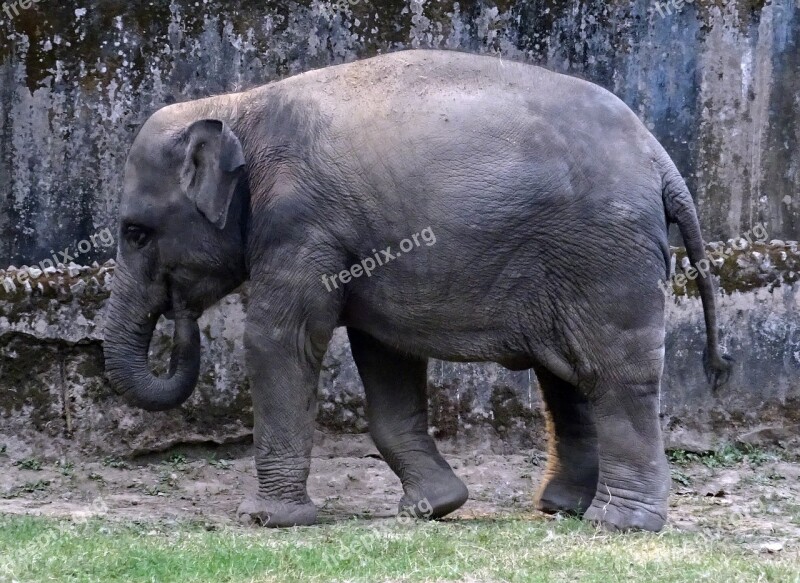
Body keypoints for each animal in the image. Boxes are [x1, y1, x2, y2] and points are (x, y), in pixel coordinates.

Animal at [104, 50, 732, 532]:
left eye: (135, 232)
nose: (180, 309)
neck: (239, 106)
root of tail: (661, 159)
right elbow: (385, 355)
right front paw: (434, 508)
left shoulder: (300, 224)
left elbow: (280, 341)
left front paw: (266, 520)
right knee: (567, 375)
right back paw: (561, 508)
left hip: (604, 253)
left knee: (614, 374)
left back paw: (619, 523)